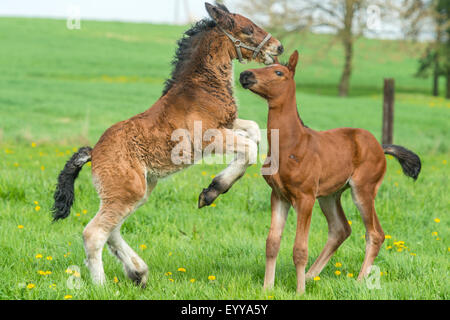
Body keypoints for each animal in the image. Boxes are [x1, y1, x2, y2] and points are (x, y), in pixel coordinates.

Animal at [52, 2, 284, 286]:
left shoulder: (228, 125)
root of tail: (94, 152)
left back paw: (138, 273)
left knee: (112, 230)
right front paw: (210, 193)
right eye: (248, 28)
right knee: (94, 233)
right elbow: (250, 149)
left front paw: (210, 191)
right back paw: (103, 286)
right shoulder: (208, 137)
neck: (201, 88)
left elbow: (253, 131)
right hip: (127, 192)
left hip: (136, 191)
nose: (278, 47)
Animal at [241, 51, 420, 294]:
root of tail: (381, 147)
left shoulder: (305, 197)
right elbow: (272, 243)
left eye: (278, 72)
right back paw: (310, 276)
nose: (245, 75)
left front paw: (299, 292)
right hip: (329, 195)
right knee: (340, 229)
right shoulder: (278, 195)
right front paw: (267, 289)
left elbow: (299, 249)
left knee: (375, 233)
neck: (291, 145)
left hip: (362, 190)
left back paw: (358, 281)